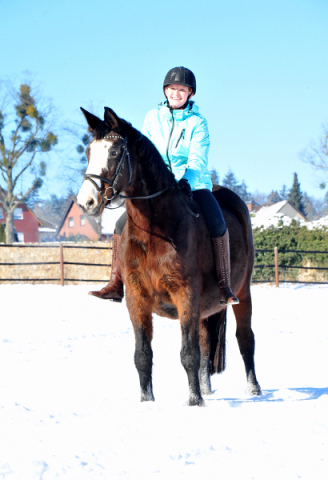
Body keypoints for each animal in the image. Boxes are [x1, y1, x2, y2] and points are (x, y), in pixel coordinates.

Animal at [77, 106, 262, 404]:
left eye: (115, 152)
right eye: (88, 152)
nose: (86, 203)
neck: (155, 230)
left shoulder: (185, 295)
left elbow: (188, 354)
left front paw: (195, 402)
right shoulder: (137, 299)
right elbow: (143, 356)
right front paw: (148, 402)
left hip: (242, 292)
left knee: (245, 338)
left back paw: (253, 388)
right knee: (206, 342)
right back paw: (206, 387)